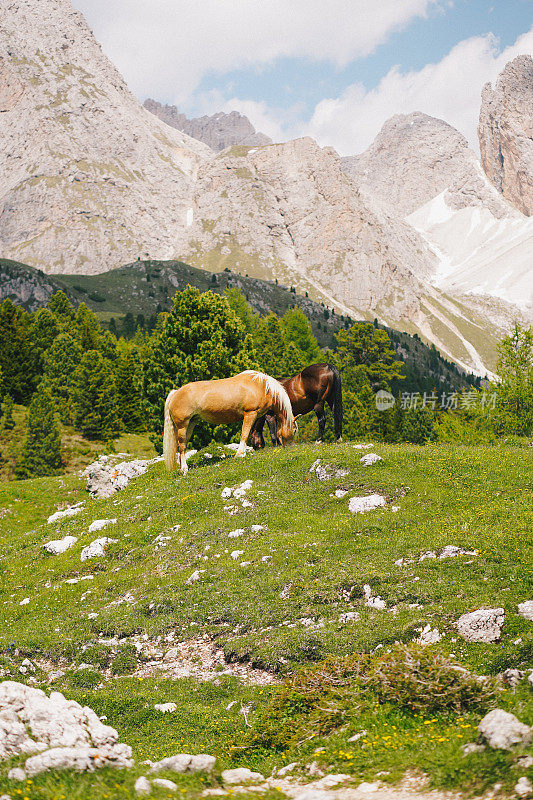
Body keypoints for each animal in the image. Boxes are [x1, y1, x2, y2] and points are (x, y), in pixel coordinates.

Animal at [162, 370, 298, 476]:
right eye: (295, 430)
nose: (291, 447)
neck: (262, 386)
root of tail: (175, 393)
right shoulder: (250, 413)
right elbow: (244, 433)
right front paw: (240, 454)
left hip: (191, 423)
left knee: (183, 445)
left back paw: (181, 469)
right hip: (182, 425)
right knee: (181, 446)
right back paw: (184, 469)